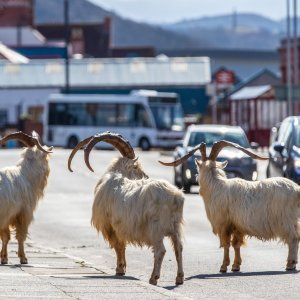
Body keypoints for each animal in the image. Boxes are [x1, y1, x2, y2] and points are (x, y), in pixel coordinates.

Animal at [0, 132, 52, 264]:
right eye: (46, 158)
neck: (26, 175)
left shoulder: (6, 215)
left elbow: (5, 236)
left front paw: (4, 258)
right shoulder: (23, 213)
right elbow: (20, 236)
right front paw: (23, 258)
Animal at [68, 132, 185, 284]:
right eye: (135, 167)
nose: (146, 176)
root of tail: (175, 196)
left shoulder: (111, 227)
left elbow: (118, 246)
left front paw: (119, 269)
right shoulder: (120, 227)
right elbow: (122, 246)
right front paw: (122, 268)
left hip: (155, 229)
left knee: (160, 250)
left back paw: (153, 278)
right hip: (175, 227)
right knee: (178, 248)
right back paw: (179, 278)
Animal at [159, 141, 300, 272]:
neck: (216, 186)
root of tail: (296, 190)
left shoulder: (223, 224)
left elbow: (226, 244)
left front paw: (223, 266)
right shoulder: (237, 226)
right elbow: (236, 244)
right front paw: (236, 266)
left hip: (285, 220)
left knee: (293, 238)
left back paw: (290, 264)